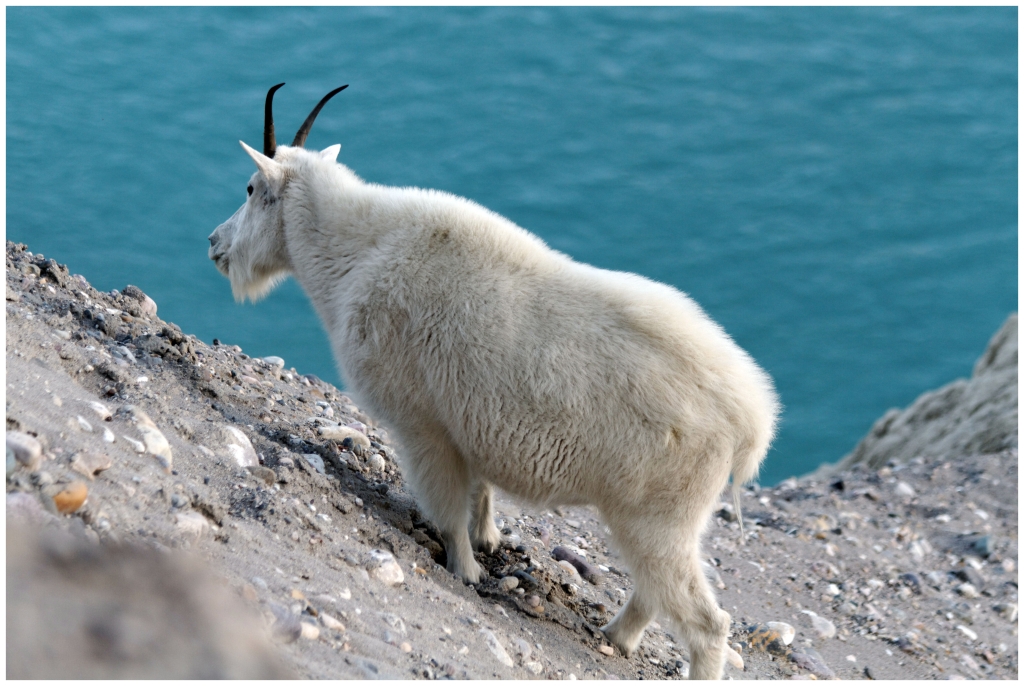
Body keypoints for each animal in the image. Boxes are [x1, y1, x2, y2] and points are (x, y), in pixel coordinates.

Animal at [208, 84, 780, 679]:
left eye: (250, 188)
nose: (214, 244)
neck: (359, 251)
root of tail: (753, 419)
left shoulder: (422, 423)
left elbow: (447, 505)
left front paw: (464, 570)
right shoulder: (468, 423)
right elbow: (479, 492)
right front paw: (488, 540)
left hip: (659, 518)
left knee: (705, 621)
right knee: (654, 593)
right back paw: (614, 636)